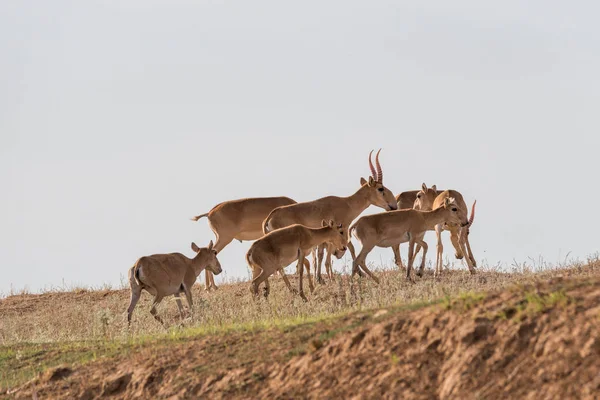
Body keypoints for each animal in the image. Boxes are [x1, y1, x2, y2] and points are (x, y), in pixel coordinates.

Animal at [264, 149, 398, 284]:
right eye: (380, 188)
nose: (393, 206)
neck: (347, 203)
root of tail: (271, 216)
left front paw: (321, 278)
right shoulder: (340, 231)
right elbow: (349, 248)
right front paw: (358, 274)